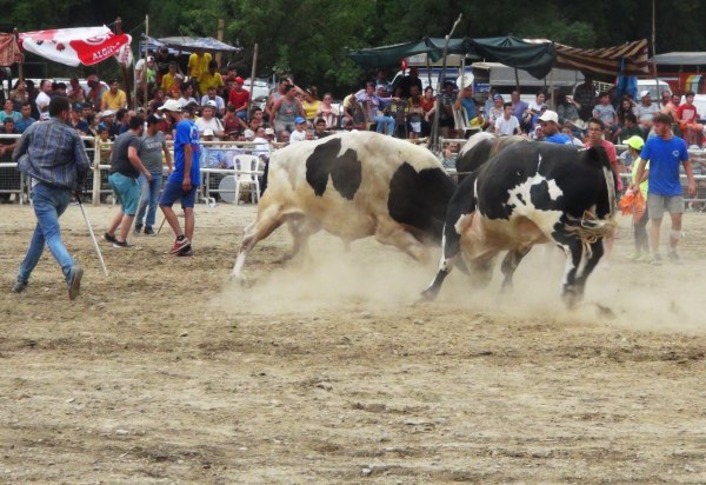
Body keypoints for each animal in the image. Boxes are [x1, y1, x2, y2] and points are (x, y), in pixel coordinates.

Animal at [228, 130, 454, 280]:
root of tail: (274, 156)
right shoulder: (388, 231)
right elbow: (425, 256)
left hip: (310, 217)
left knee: (298, 233)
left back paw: (305, 263)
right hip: (272, 211)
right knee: (249, 237)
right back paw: (237, 275)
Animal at [420, 140, 612, 306]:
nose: (477, 284)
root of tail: (587, 154)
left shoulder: (456, 221)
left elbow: (447, 260)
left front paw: (429, 292)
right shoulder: (524, 240)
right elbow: (509, 266)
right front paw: (504, 292)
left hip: (554, 223)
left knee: (574, 248)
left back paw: (568, 291)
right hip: (594, 221)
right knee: (595, 253)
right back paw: (577, 289)